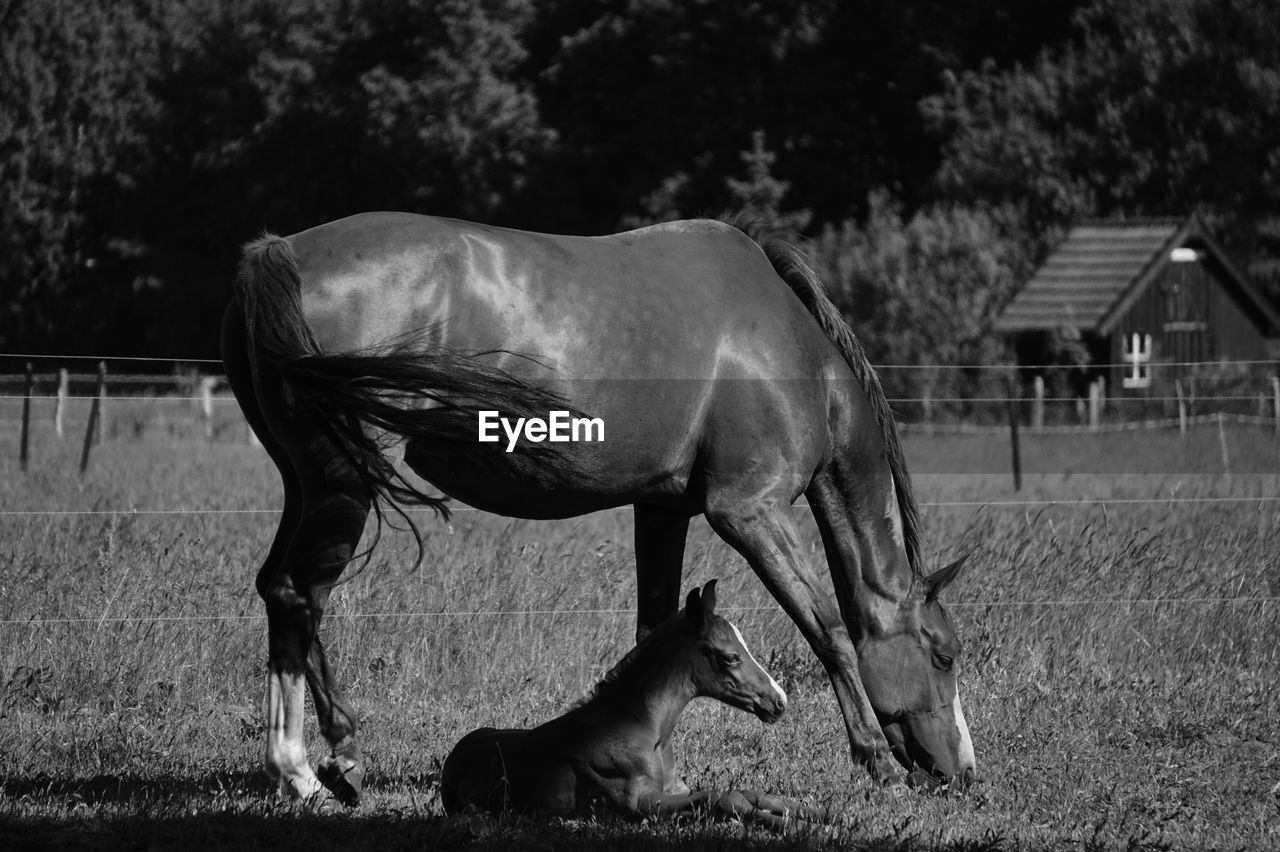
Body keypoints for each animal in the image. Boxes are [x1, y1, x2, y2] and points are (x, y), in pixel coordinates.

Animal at [440, 580, 829, 823]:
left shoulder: (676, 789)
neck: (641, 727)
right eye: (730, 656)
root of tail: (455, 755)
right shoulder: (639, 804)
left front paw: (823, 813)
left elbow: (746, 792)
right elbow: (723, 797)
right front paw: (790, 825)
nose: (779, 701)